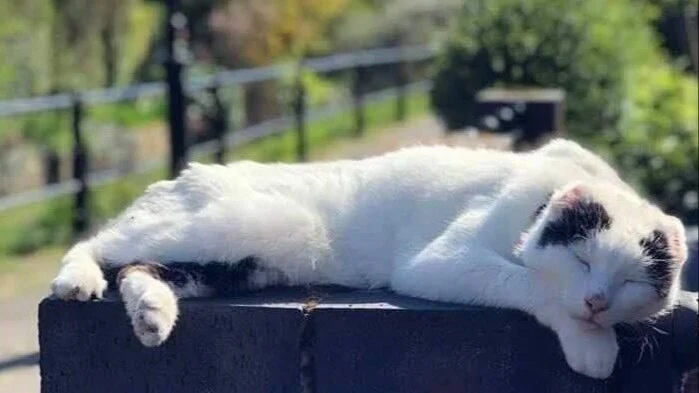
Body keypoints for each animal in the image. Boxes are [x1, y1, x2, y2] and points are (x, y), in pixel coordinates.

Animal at [50, 139, 688, 378]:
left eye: (631, 281)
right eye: (582, 261)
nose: (598, 300)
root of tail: (177, 176)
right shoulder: (441, 259)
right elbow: (528, 284)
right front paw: (592, 344)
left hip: (241, 258)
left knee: (141, 269)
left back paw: (152, 317)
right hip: (236, 223)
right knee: (103, 243)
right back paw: (76, 280)